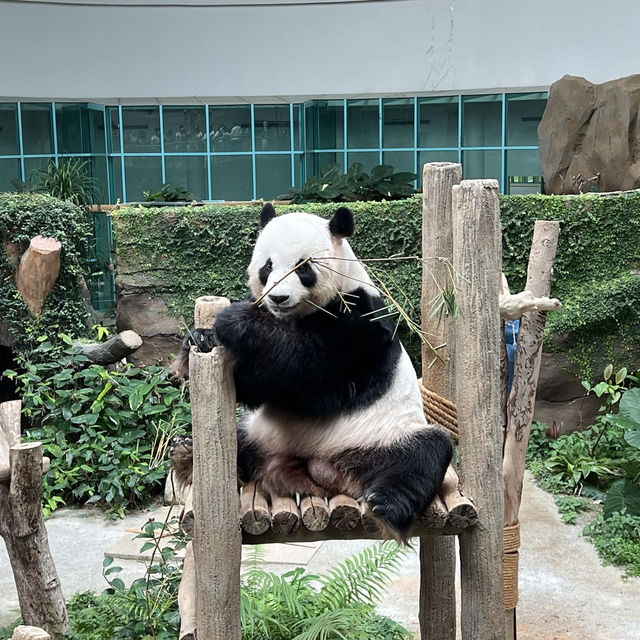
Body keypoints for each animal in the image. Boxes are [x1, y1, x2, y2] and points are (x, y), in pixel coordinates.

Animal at [172, 201, 452, 540]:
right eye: (268, 266)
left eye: (303, 267)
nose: (278, 297)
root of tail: (324, 472)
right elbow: (256, 388)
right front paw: (200, 339)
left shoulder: (360, 322)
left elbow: (304, 372)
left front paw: (234, 321)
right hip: (263, 433)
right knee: (239, 442)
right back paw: (186, 454)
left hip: (386, 434)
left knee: (426, 452)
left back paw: (385, 505)